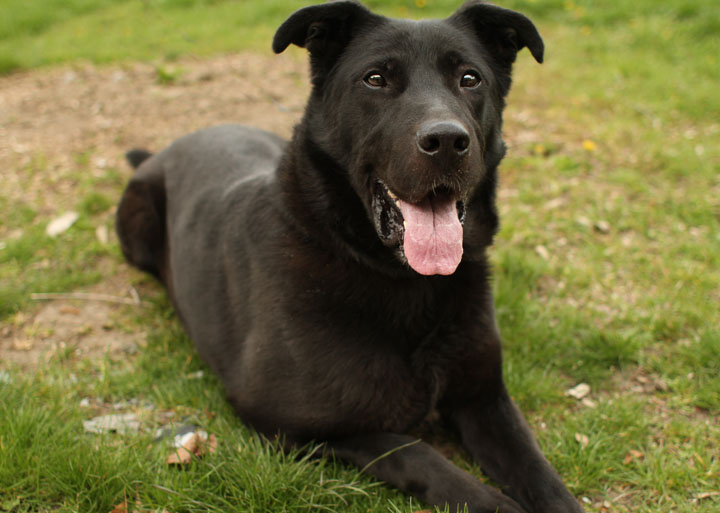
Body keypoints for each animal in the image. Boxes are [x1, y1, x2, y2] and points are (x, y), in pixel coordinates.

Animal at [118, 2, 588, 510]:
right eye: (375, 79)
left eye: (470, 78)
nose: (447, 141)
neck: (401, 277)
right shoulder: (295, 428)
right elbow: (420, 456)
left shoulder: (486, 400)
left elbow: (542, 475)